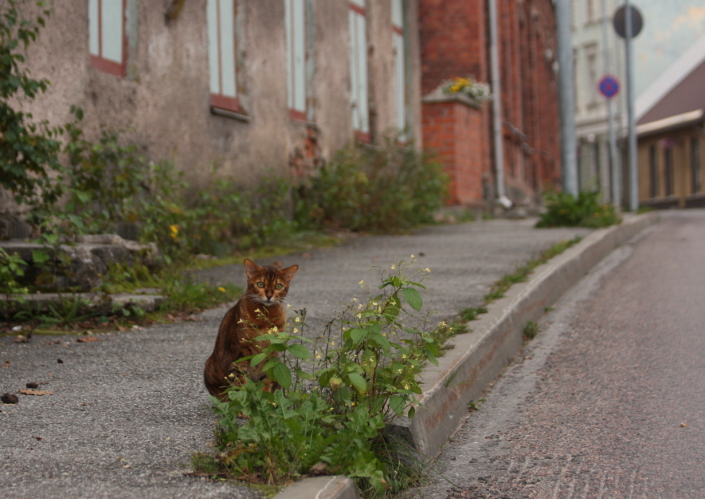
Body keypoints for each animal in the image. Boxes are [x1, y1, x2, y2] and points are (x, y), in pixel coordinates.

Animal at [206, 260, 300, 400]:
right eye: (260, 284)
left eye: (278, 286)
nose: (269, 295)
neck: (265, 318)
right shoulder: (240, 354)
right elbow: (241, 384)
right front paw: (245, 403)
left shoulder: (271, 354)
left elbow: (266, 379)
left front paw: (266, 400)